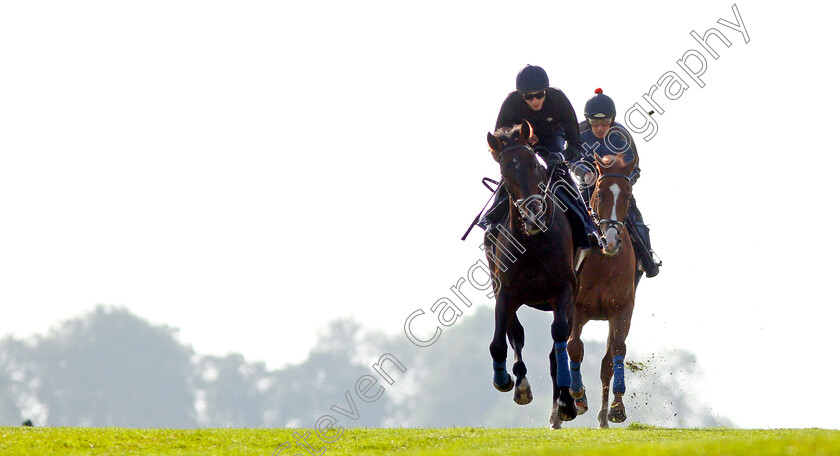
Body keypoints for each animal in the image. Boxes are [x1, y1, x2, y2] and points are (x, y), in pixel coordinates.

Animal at [482, 121, 580, 428]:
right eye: (505, 173)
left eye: (535, 165)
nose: (534, 215)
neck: (534, 241)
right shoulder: (505, 291)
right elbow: (502, 339)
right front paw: (508, 380)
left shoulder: (564, 289)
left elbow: (559, 336)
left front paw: (566, 400)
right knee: (516, 334)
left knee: (559, 346)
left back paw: (564, 403)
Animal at [568, 153, 640, 428]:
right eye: (599, 193)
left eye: (628, 196)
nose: (610, 241)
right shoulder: (575, 308)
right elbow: (573, 347)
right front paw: (578, 396)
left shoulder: (621, 309)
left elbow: (615, 352)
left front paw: (616, 409)